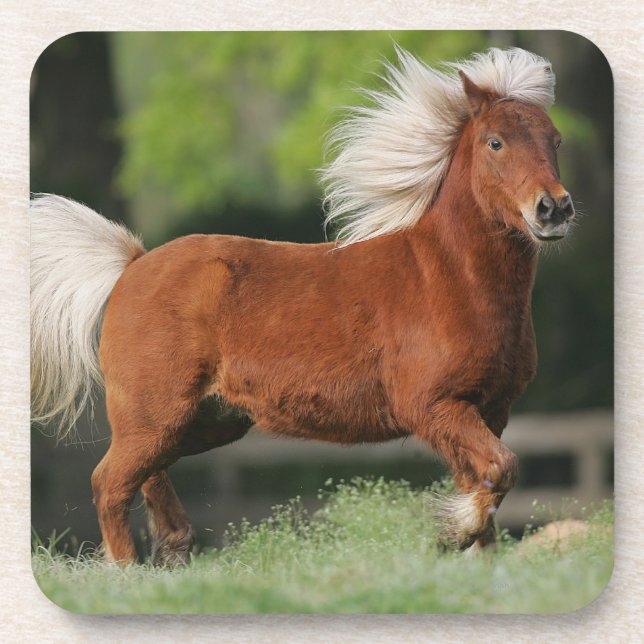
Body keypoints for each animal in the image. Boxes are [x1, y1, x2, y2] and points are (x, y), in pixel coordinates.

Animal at [31, 47, 575, 566]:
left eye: (556, 140)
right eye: (495, 142)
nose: (554, 209)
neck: (448, 279)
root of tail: (132, 264)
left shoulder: (489, 410)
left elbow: (488, 482)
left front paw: (476, 560)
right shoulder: (434, 407)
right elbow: (501, 469)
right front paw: (449, 533)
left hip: (204, 421)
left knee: (147, 475)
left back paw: (175, 551)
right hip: (155, 414)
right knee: (109, 483)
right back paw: (127, 572)